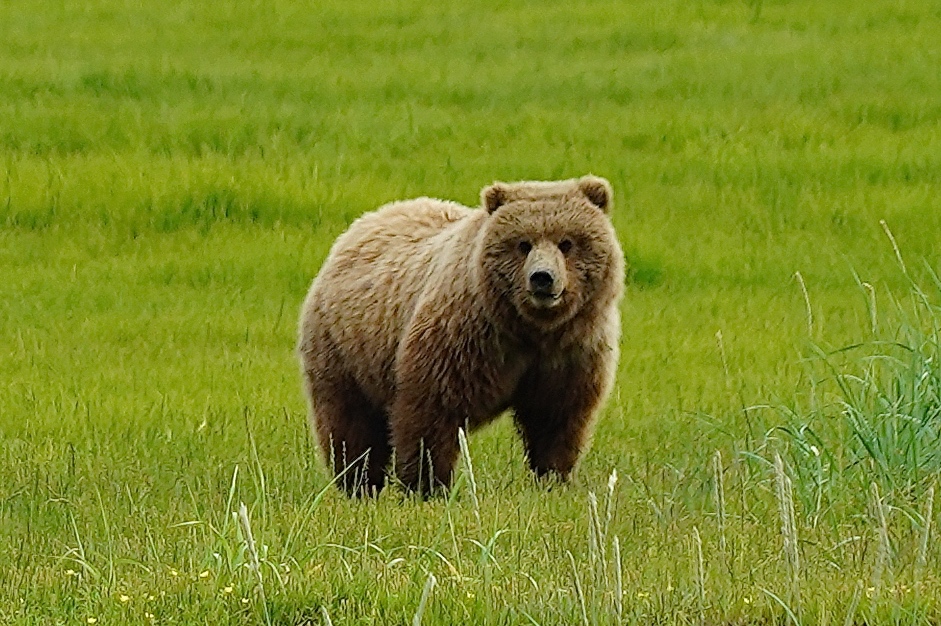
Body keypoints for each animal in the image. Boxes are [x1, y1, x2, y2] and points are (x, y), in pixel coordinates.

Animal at [297, 176, 624, 496]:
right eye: (523, 244)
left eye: (567, 242)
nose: (542, 278)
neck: (530, 329)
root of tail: (364, 221)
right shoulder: (466, 337)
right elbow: (432, 410)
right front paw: (427, 485)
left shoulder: (571, 352)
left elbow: (556, 418)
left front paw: (553, 479)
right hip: (346, 349)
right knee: (352, 423)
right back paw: (358, 482)